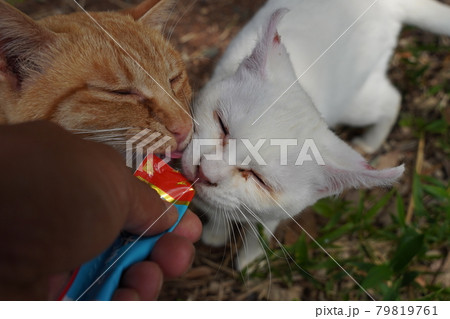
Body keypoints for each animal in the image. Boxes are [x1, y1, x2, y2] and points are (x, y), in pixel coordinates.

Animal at [181, 0, 448, 270]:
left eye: (259, 179)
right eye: (222, 125)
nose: (205, 172)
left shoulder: (276, 211)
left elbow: (262, 229)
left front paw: (251, 259)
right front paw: (217, 231)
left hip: (355, 102)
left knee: (391, 98)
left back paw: (371, 141)